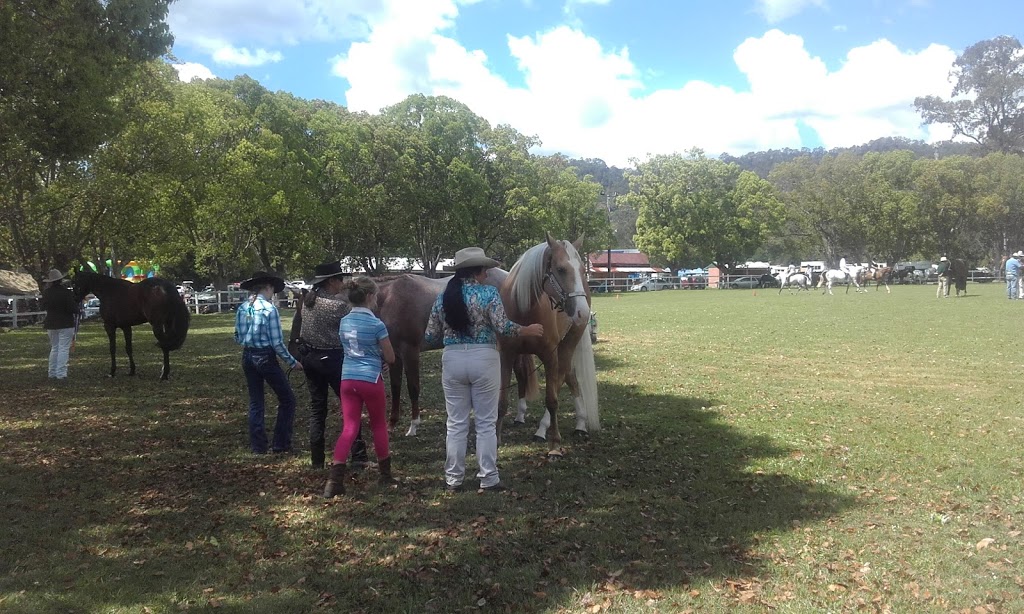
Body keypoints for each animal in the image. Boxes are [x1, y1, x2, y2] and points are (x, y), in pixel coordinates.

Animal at [497, 232, 598, 458]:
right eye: (560, 269)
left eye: (582, 270)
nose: (583, 312)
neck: (523, 310)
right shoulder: (506, 355)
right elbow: (502, 400)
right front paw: (495, 441)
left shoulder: (550, 355)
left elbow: (552, 400)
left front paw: (555, 446)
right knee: (570, 376)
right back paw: (579, 425)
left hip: (567, 344)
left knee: (562, 378)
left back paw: (547, 429)